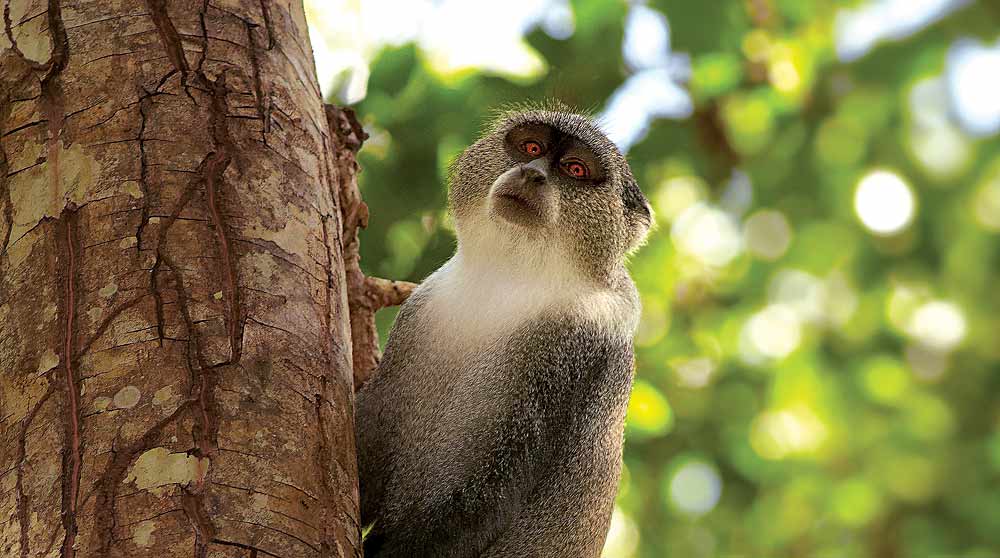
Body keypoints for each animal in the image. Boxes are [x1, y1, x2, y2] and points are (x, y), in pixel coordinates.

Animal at [356, 106, 652, 558]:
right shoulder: (424, 308)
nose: (532, 173)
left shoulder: (574, 348)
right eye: (531, 147)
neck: (507, 281)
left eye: (575, 169)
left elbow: (493, 488)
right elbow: (373, 429)